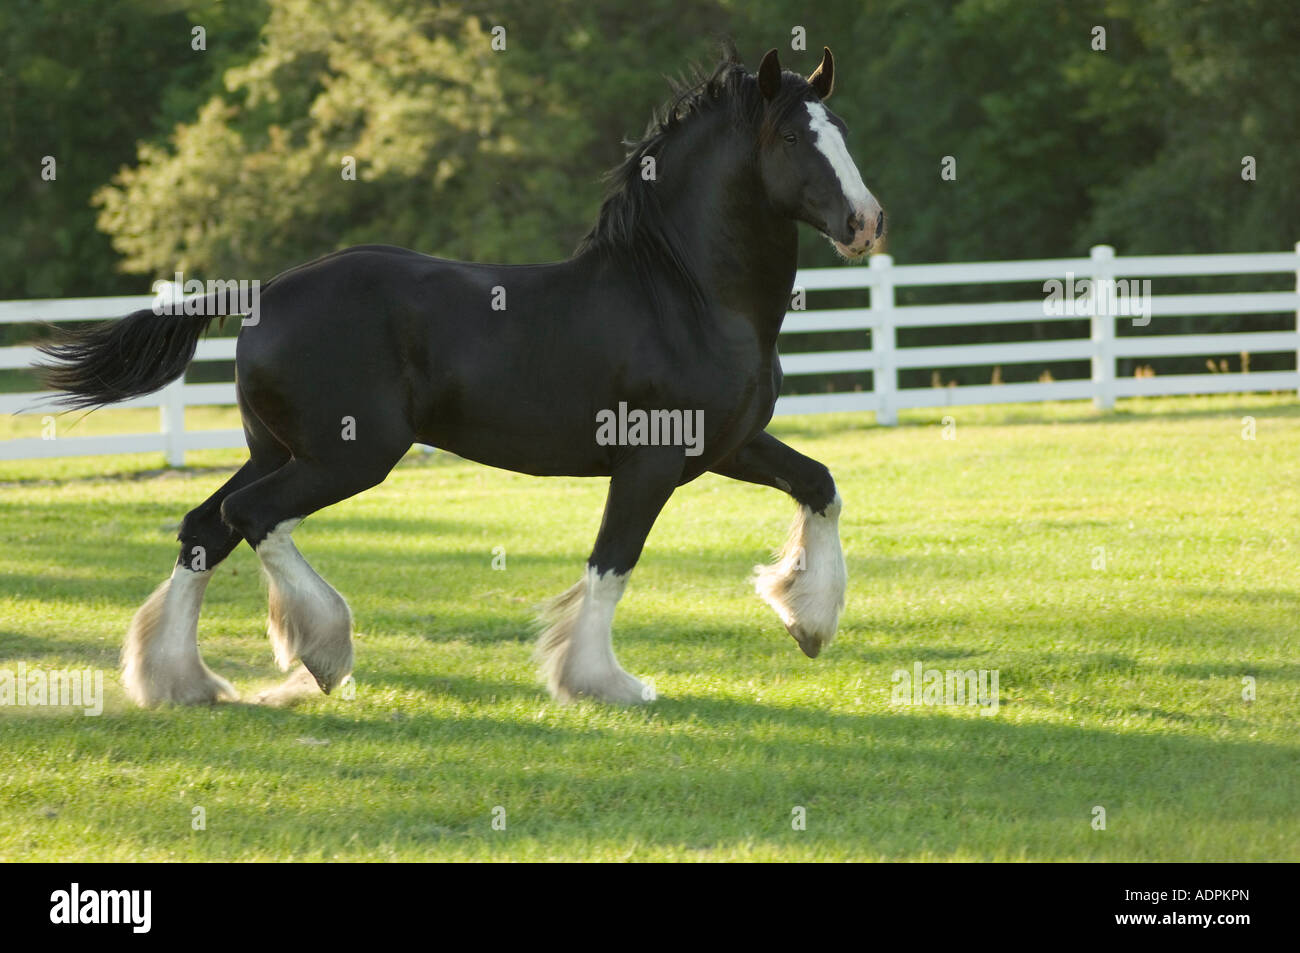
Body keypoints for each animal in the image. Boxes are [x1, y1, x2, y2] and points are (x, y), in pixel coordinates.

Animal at [36, 45, 885, 708]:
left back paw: (180, 681)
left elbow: (822, 484)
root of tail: (263, 292)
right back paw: (324, 649)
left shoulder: (730, 445)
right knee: (251, 516)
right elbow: (612, 560)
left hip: (279, 447)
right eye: (791, 136)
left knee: (204, 527)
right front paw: (601, 682)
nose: (866, 223)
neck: (684, 294)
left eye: (842, 131)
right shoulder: (650, 458)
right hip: (349, 453)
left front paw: (808, 621)